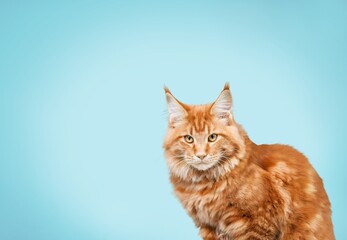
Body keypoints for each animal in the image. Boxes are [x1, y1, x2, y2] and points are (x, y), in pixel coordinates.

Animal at [162, 83, 334, 239]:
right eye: (189, 139)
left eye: (212, 137)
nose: (201, 155)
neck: (203, 184)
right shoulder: (207, 226)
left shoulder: (258, 223)